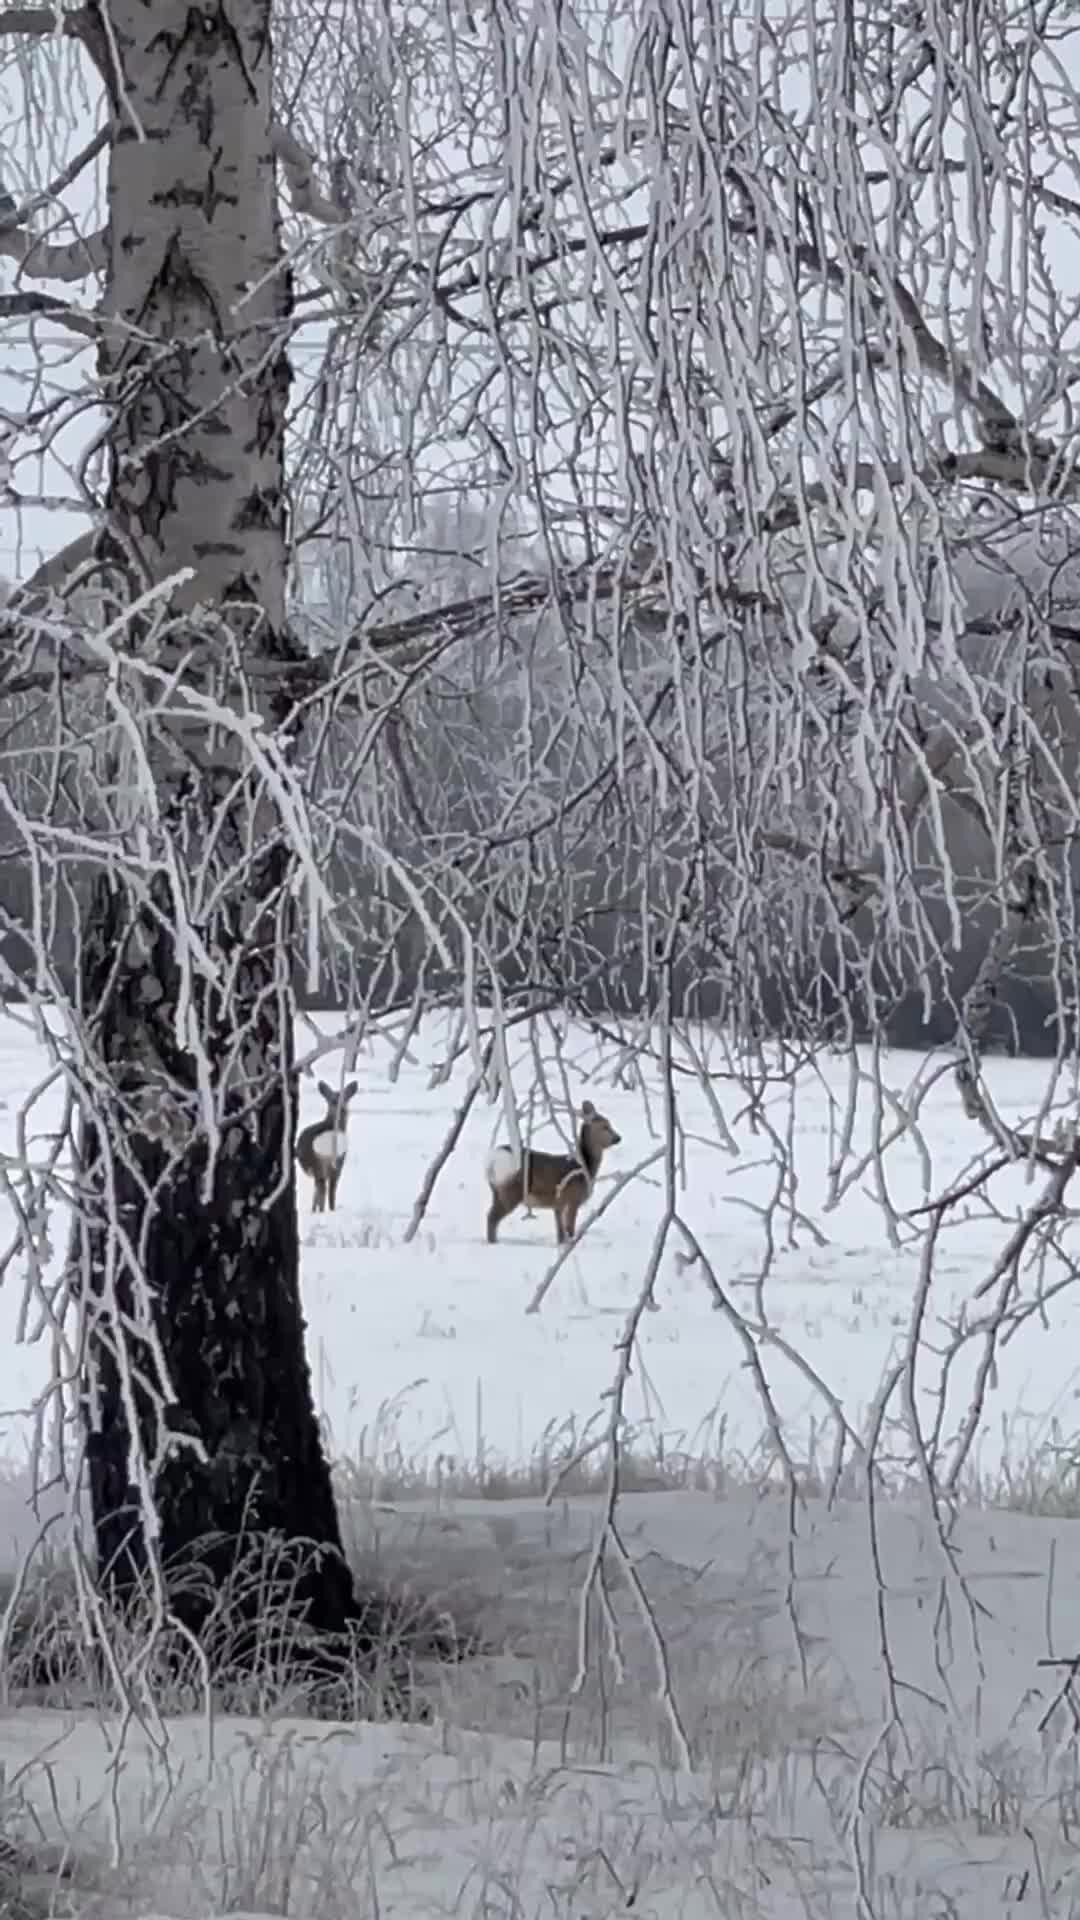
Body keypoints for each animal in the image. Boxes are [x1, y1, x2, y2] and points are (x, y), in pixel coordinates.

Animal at [294, 1082, 357, 1213]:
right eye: (333, 1100)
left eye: (346, 1098)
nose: (343, 1109)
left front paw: (314, 1210)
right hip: (334, 1163)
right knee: (329, 1190)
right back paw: (328, 1210)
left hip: (320, 1165)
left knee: (323, 1189)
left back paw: (320, 1211)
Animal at [480, 1105, 618, 1251]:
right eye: (605, 1126)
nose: (618, 1138)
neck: (584, 1168)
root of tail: (493, 1160)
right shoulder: (573, 1198)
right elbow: (570, 1228)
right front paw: (570, 1245)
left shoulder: (558, 1204)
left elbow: (560, 1232)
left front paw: (561, 1245)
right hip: (511, 1190)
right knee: (492, 1217)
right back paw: (494, 1244)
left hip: (496, 1190)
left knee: (490, 1215)